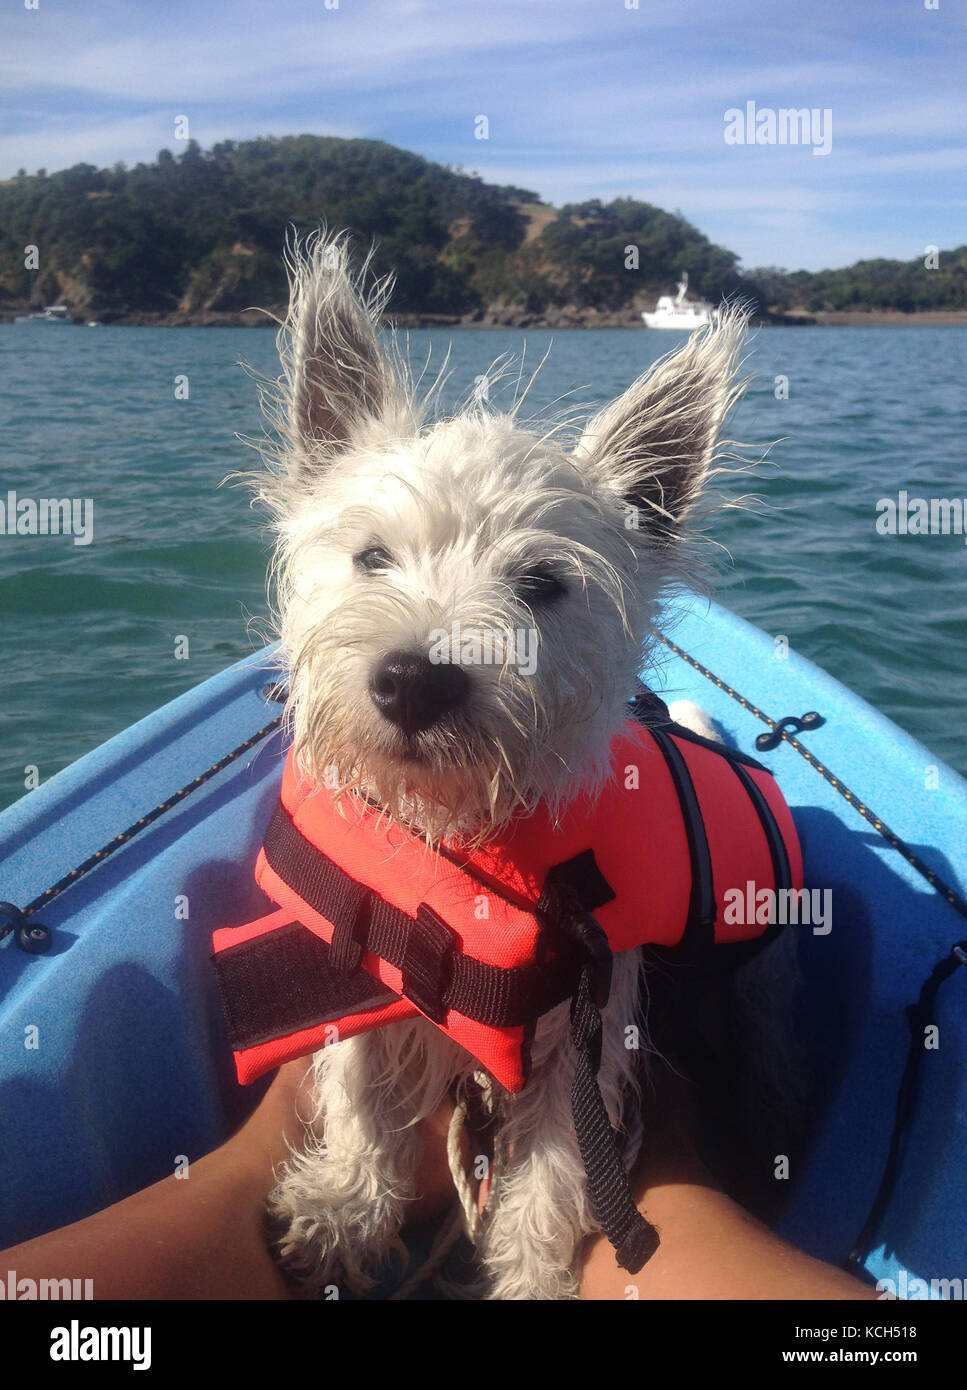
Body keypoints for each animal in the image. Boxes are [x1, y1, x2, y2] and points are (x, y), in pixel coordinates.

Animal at [252, 230, 750, 1301]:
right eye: (372, 557)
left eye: (541, 583)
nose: (413, 679)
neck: (458, 839)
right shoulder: (361, 972)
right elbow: (359, 1098)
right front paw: (341, 1209)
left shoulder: (580, 1040)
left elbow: (558, 1175)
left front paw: (527, 1277)